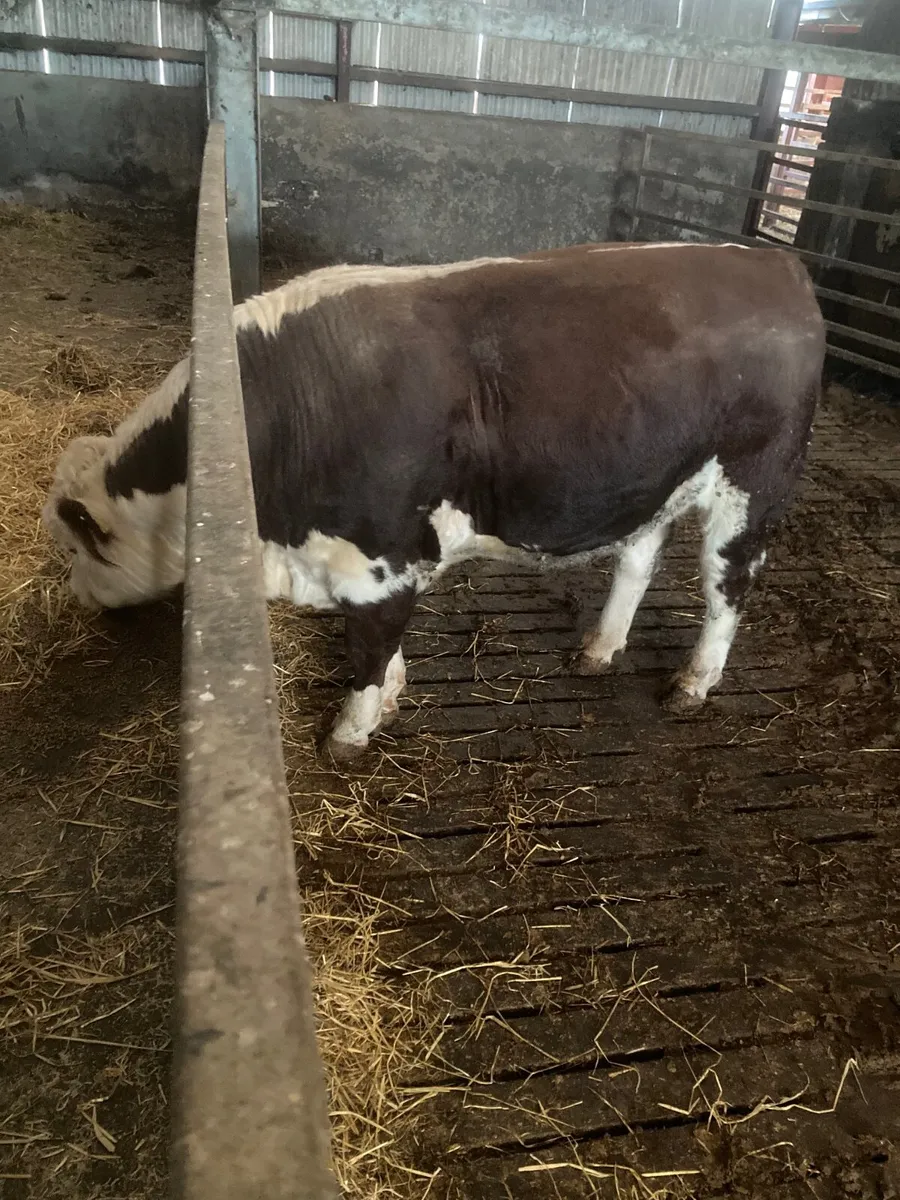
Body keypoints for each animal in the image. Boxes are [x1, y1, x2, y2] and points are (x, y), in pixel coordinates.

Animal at [42, 241, 825, 761]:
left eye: (79, 547)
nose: (76, 596)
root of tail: (773, 261)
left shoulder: (380, 562)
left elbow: (368, 650)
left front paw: (349, 733)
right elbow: (384, 650)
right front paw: (387, 700)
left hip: (752, 486)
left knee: (727, 586)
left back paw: (694, 682)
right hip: (654, 481)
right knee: (638, 559)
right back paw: (600, 649)